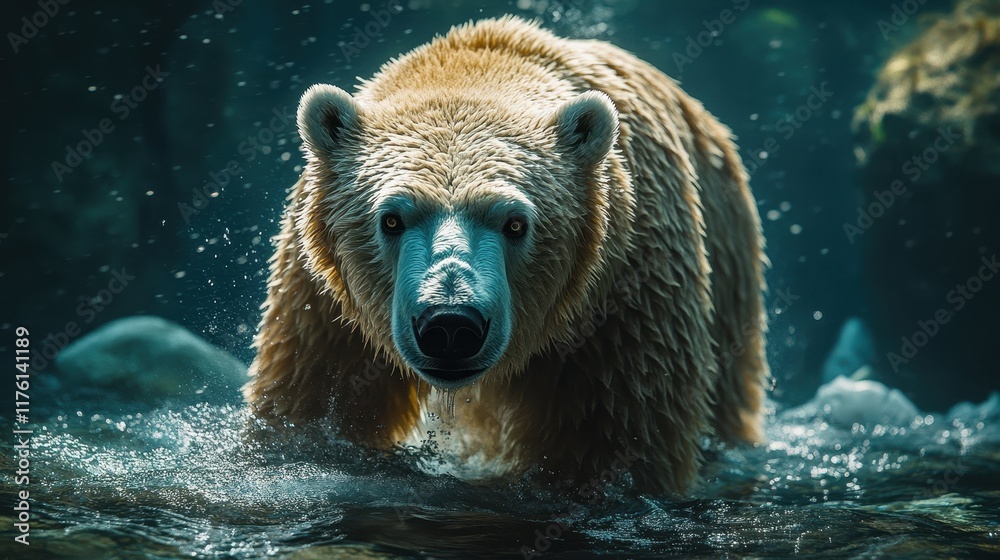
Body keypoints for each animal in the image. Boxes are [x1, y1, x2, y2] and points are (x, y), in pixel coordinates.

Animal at [244, 16, 768, 494]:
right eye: (391, 219)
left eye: (516, 223)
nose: (450, 326)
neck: (484, 63)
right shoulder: (323, 304)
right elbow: (312, 404)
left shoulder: (625, 297)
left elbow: (617, 436)